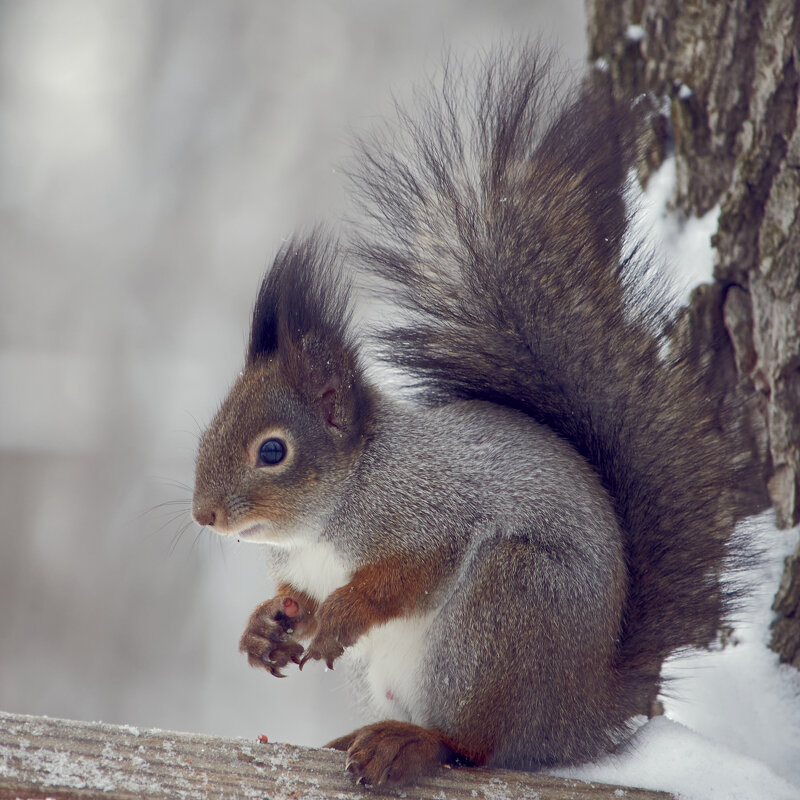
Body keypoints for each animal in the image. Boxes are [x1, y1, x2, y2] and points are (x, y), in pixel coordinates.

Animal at [192, 47, 756, 784]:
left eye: (272, 451)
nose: (204, 515)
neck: (340, 503)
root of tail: (575, 718)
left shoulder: (431, 512)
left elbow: (408, 575)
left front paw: (345, 613)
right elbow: (299, 604)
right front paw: (266, 627)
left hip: (503, 610)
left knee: (476, 746)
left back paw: (411, 743)